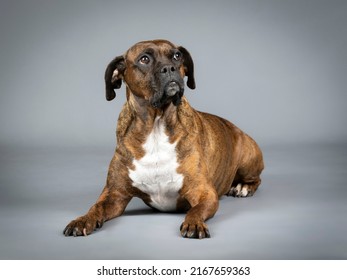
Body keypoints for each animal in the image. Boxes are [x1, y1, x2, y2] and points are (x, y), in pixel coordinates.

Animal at [63, 39, 264, 238]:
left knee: (256, 179)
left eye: (177, 56)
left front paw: (194, 223)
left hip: (248, 157)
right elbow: (95, 207)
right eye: (144, 59)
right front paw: (82, 220)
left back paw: (243, 187)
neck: (156, 125)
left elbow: (196, 210)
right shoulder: (114, 195)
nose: (169, 68)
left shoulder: (204, 193)